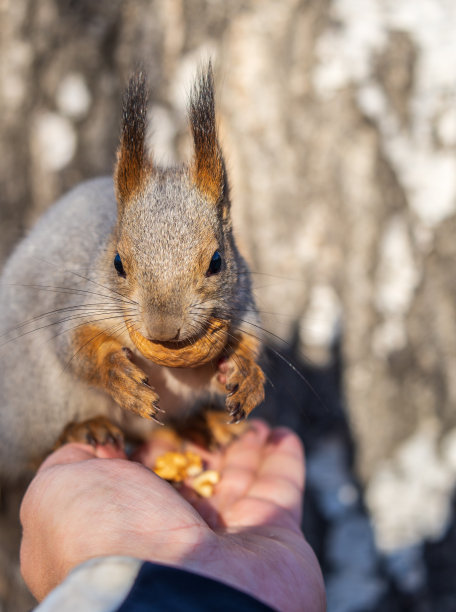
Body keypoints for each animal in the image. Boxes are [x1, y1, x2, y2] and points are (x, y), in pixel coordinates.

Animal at [0, 64, 264, 480]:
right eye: (117, 263)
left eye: (217, 262)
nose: (163, 329)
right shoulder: (80, 303)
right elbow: (75, 346)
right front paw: (120, 377)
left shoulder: (243, 308)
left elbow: (248, 347)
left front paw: (246, 374)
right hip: (33, 399)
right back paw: (83, 428)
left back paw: (206, 424)